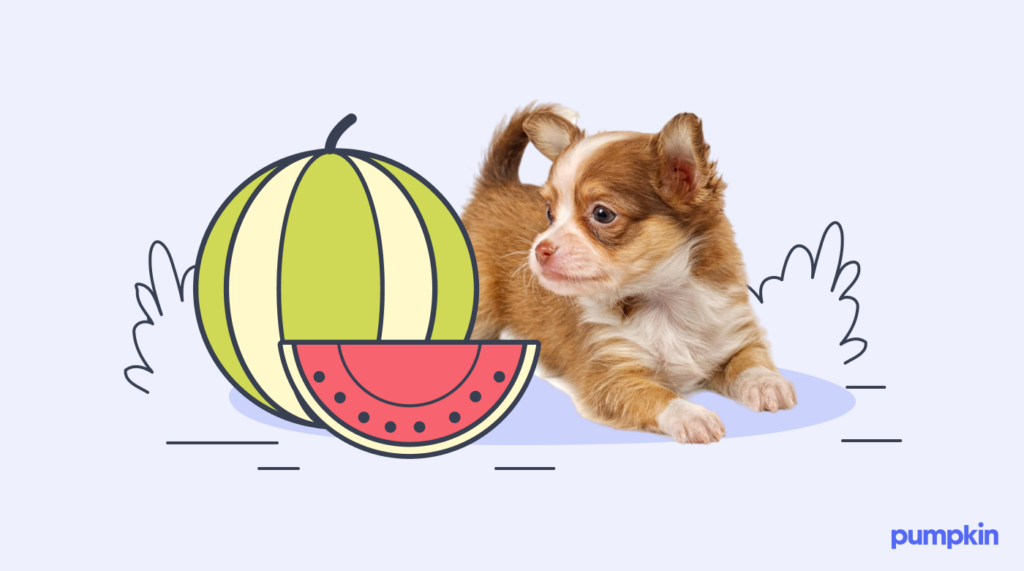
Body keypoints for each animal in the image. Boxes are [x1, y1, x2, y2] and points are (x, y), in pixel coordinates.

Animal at [460, 103, 794, 444]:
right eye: (549, 214)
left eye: (602, 214)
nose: (540, 248)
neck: (664, 301)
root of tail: (497, 183)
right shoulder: (612, 377)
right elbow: (658, 396)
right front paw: (692, 416)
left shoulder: (733, 335)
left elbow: (751, 361)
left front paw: (767, 383)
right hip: (482, 309)